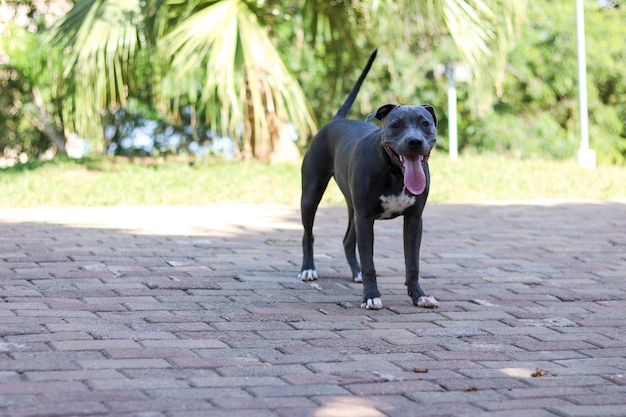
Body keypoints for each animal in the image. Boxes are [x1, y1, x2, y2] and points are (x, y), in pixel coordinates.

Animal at [298, 49, 436, 308]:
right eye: (396, 125)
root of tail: (336, 120)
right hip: (311, 195)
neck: (395, 173)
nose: (414, 142)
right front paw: (372, 296)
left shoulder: (414, 219)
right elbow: (370, 262)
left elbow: (412, 262)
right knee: (308, 235)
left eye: (425, 123)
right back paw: (308, 269)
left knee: (347, 241)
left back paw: (357, 272)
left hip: (352, 207)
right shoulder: (365, 218)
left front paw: (419, 295)